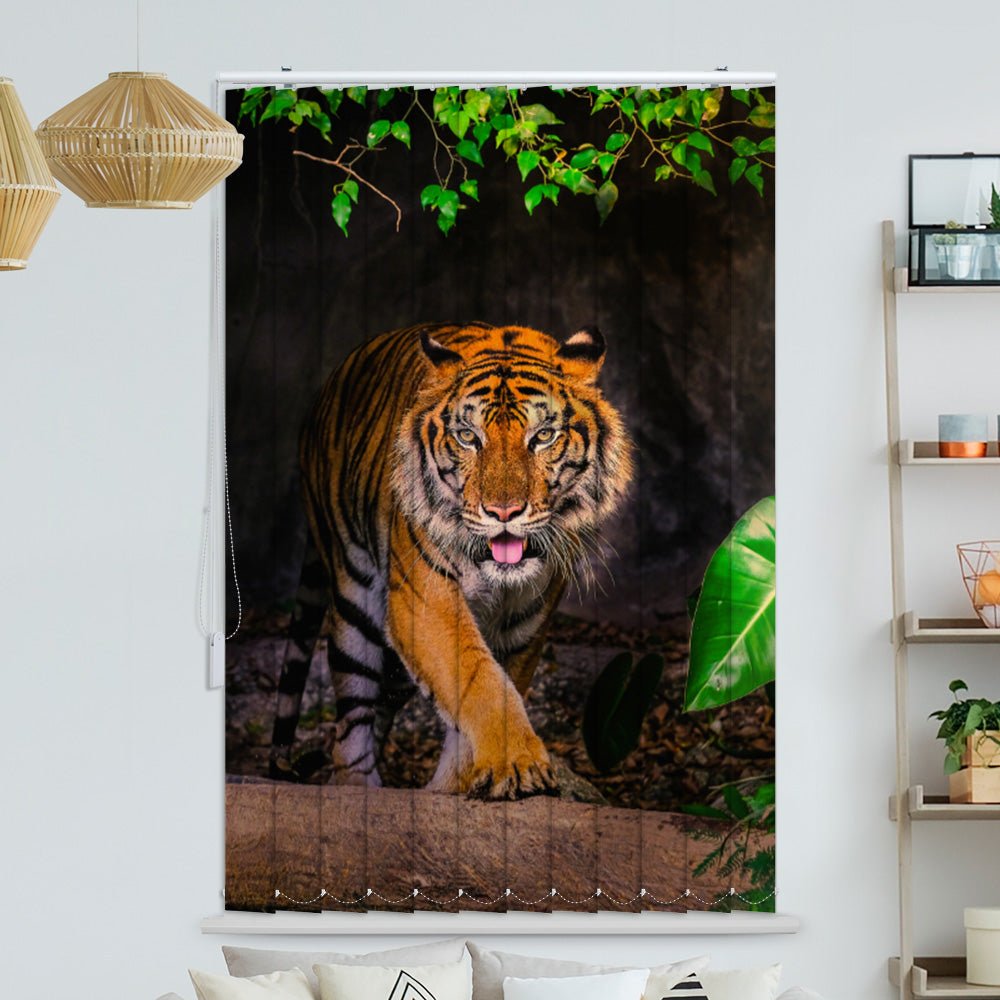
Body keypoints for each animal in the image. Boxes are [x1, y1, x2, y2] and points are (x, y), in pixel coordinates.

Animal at [269, 322, 633, 800]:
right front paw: (518, 764)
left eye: (542, 437)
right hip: (354, 601)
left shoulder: (525, 624)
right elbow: (481, 680)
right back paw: (357, 787)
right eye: (468, 438)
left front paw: (459, 784)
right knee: (352, 722)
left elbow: (491, 690)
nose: (503, 512)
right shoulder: (424, 601)